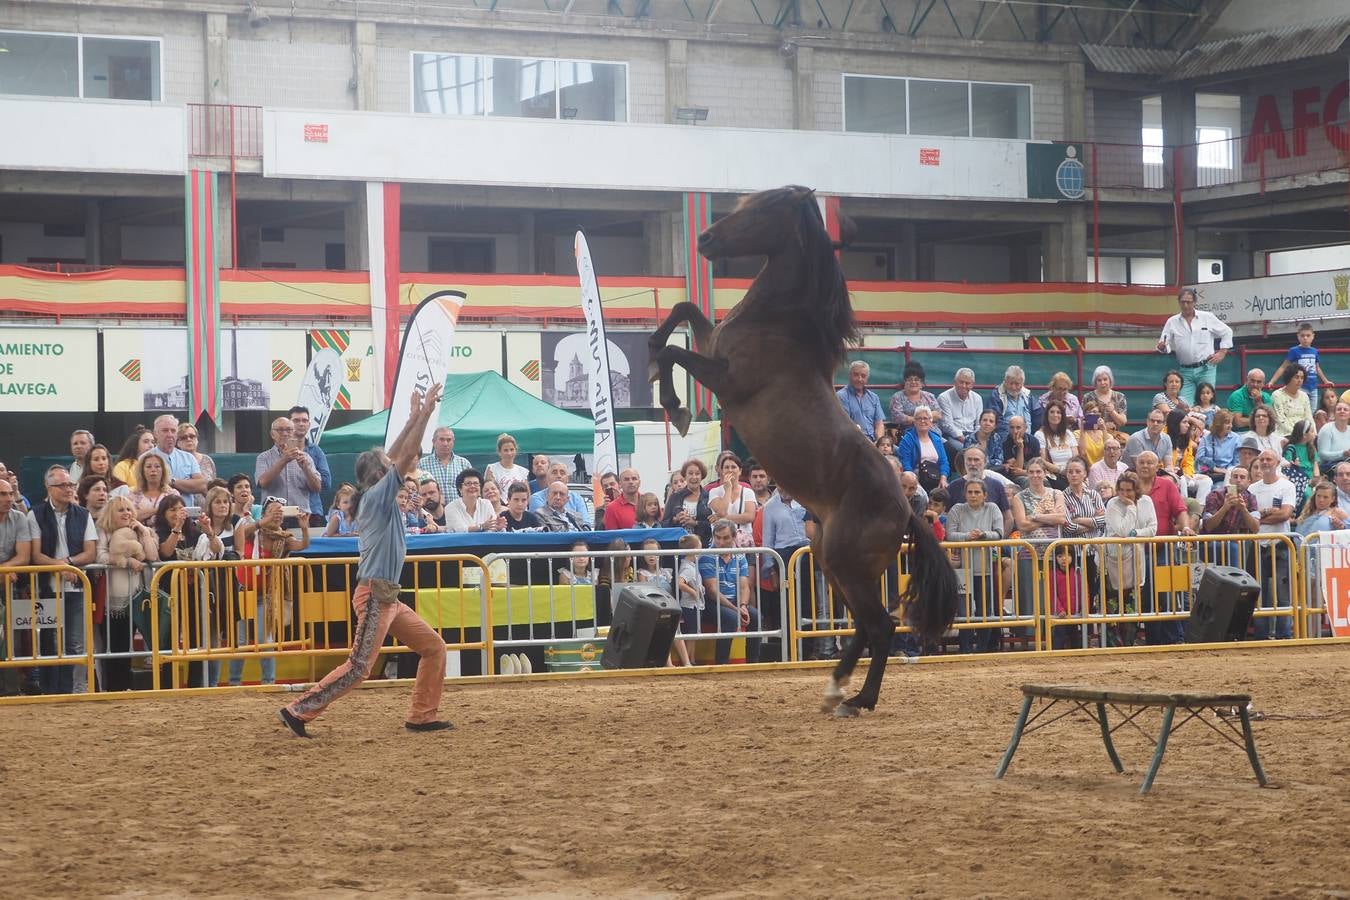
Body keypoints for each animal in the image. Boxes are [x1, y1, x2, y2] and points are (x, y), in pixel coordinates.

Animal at [647, 185, 958, 717]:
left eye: (763, 208)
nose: (705, 239)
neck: (776, 325)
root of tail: (905, 508)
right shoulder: (712, 343)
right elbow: (684, 309)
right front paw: (653, 359)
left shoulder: (727, 379)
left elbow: (675, 350)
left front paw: (673, 401)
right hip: (829, 563)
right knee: (866, 626)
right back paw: (836, 689)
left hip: (846, 564)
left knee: (881, 625)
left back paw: (857, 699)